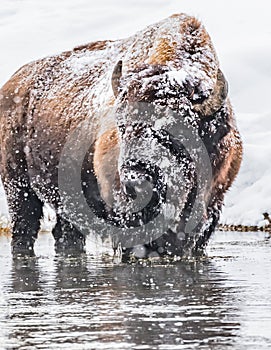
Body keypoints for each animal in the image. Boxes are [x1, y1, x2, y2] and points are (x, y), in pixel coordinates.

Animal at [0, 13, 242, 258]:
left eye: (177, 131)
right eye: (123, 127)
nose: (136, 181)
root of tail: (13, 84)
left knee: (65, 234)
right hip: (18, 186)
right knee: (25, 228)